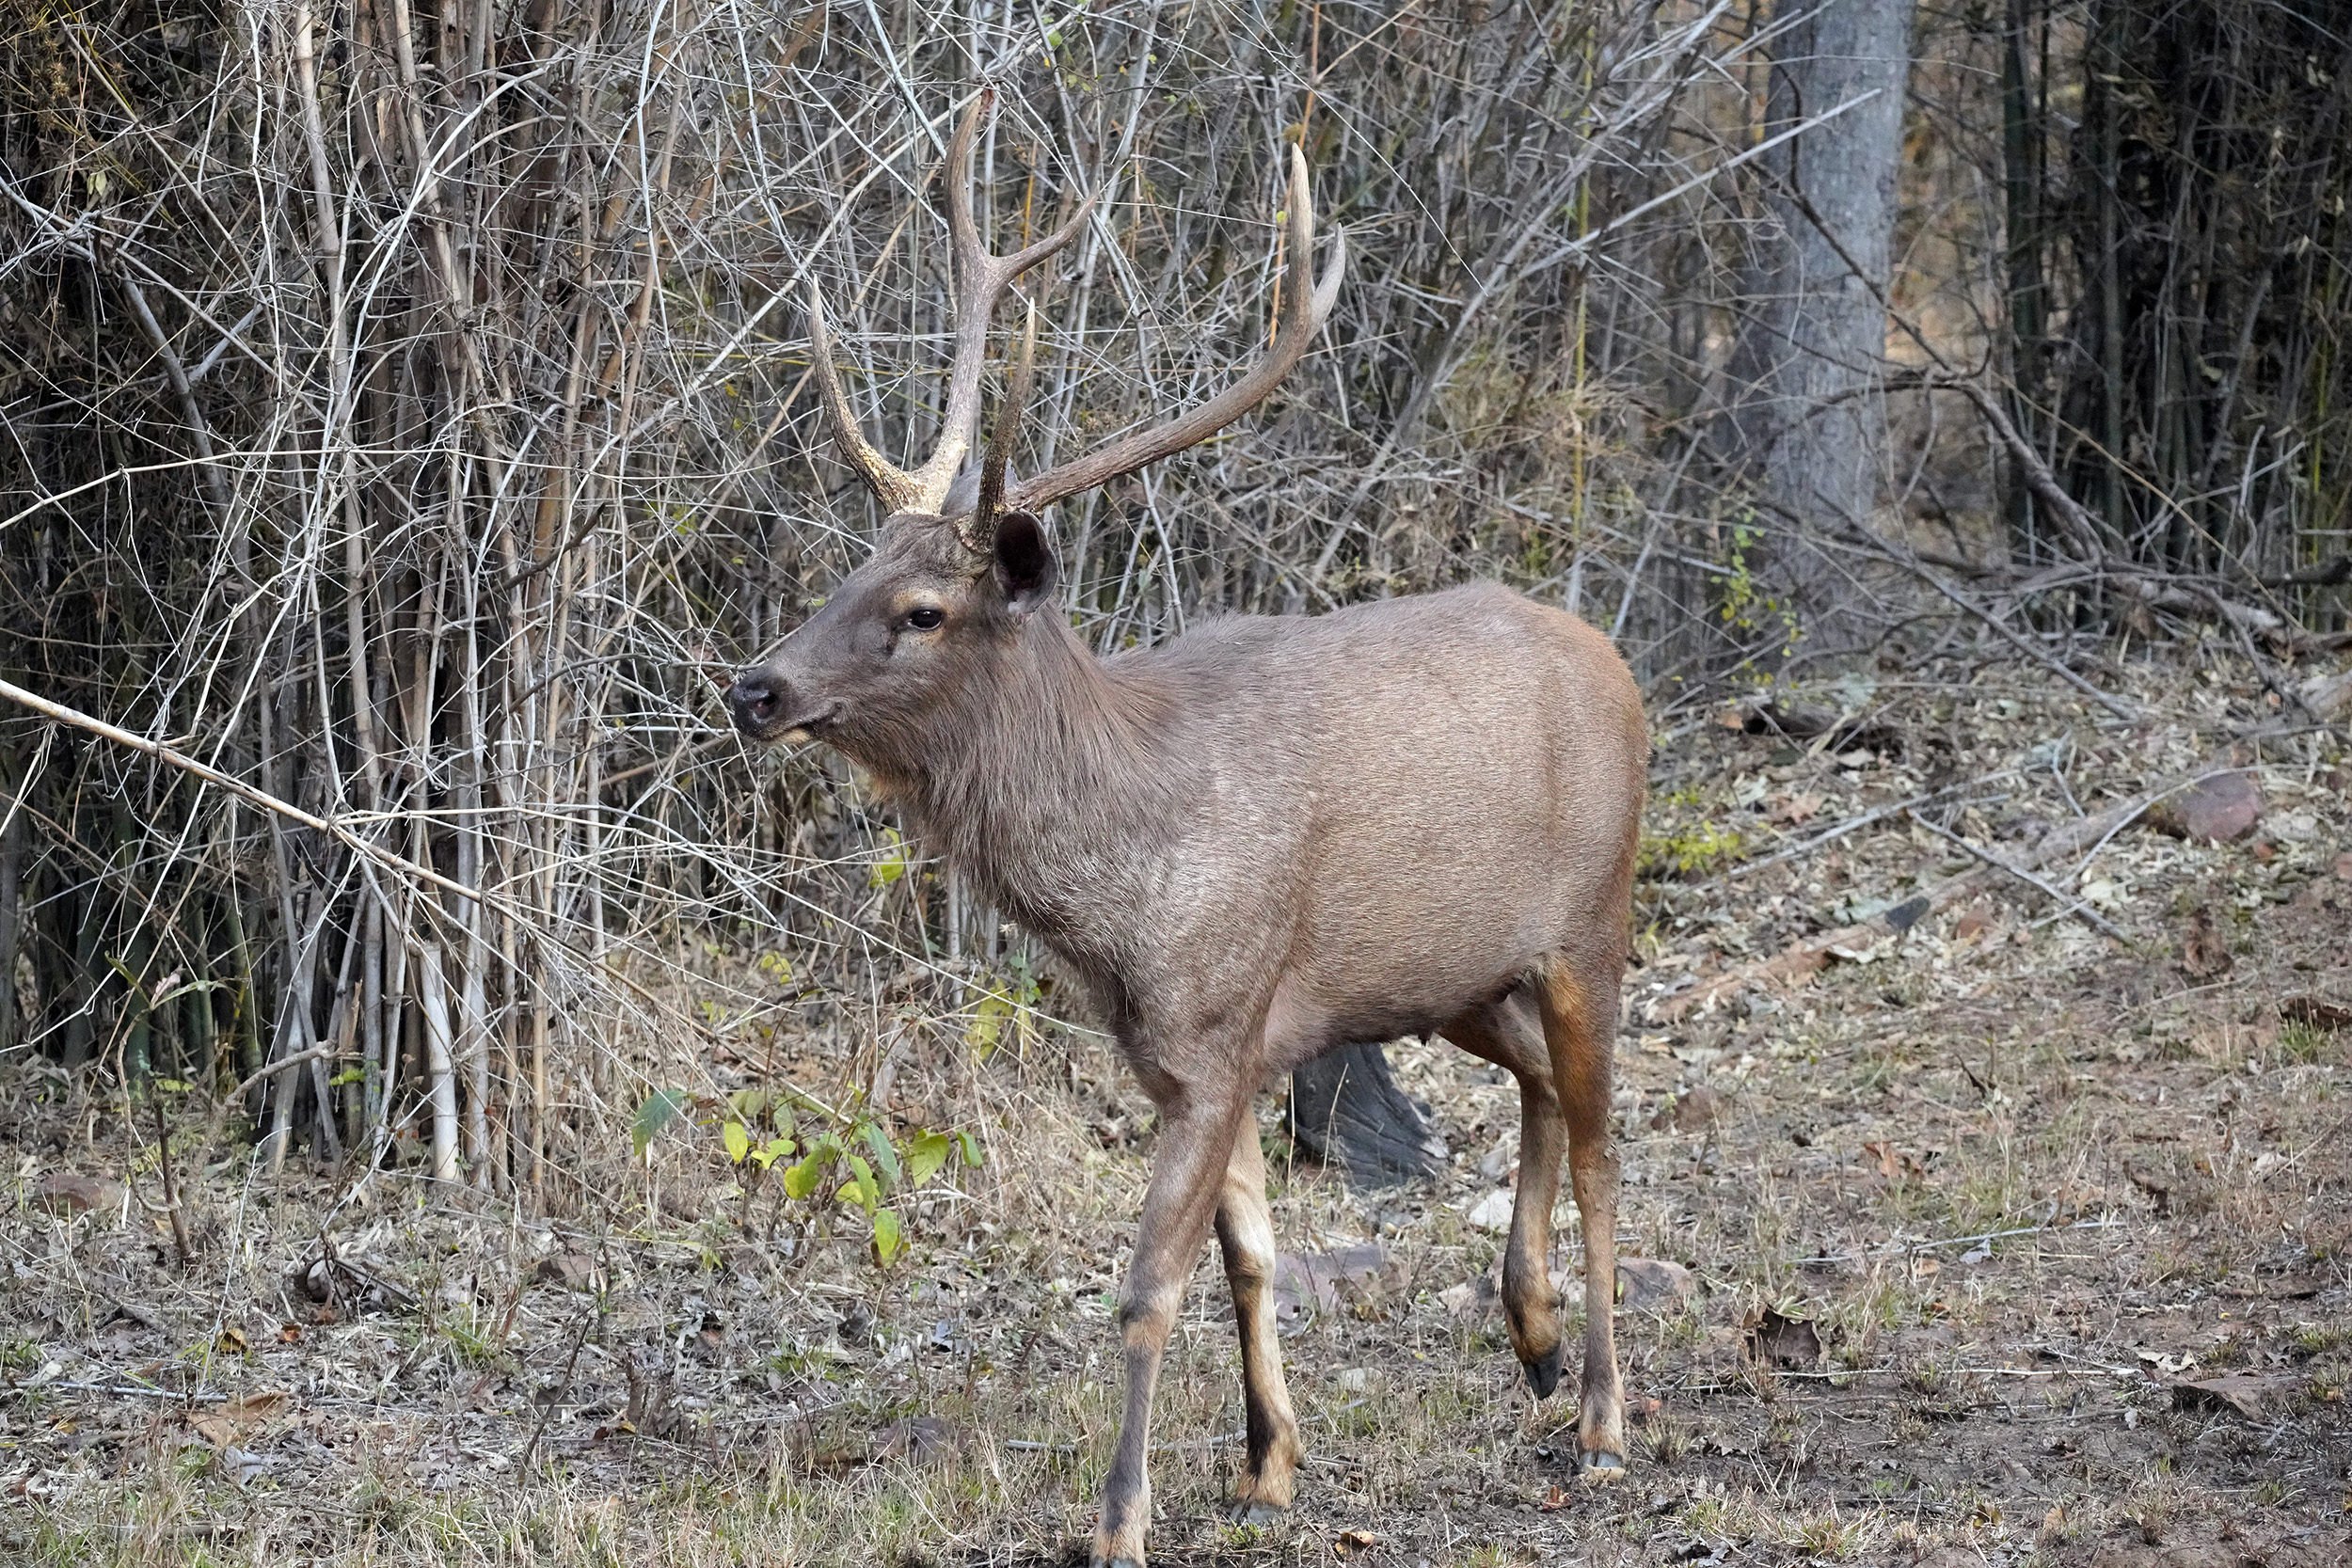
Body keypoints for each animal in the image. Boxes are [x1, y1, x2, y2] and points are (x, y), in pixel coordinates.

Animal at [728, 93, 1646, 1568]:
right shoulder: (1197, 1049)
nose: (757, 686)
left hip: (1593, 918)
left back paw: (1605, 1414)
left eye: (925, 610)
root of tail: (1615, 662)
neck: (1120, 889)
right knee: (1543, 1086)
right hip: (1453, 970)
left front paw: (1122, 1516)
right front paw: (1270, 1462)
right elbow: (1252, 1253)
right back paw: (1536, 1336)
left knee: (1610, 1131)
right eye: (848, 570)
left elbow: (1152, 1283)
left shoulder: (1220, 1024)